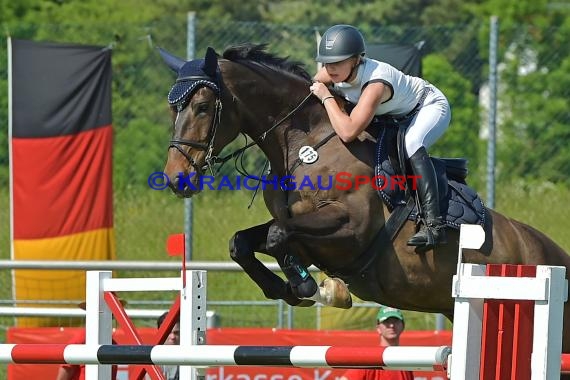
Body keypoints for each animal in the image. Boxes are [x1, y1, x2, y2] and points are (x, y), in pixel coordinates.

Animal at [158, 43, 568, 360]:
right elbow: (243, 241)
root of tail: (555, 260)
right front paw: (292, 288)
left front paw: (310, 287)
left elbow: (277, 236)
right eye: (173, 108)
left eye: (203, 107)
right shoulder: (299, 226)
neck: (306, 144)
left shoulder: (350, 230)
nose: (177, 178)